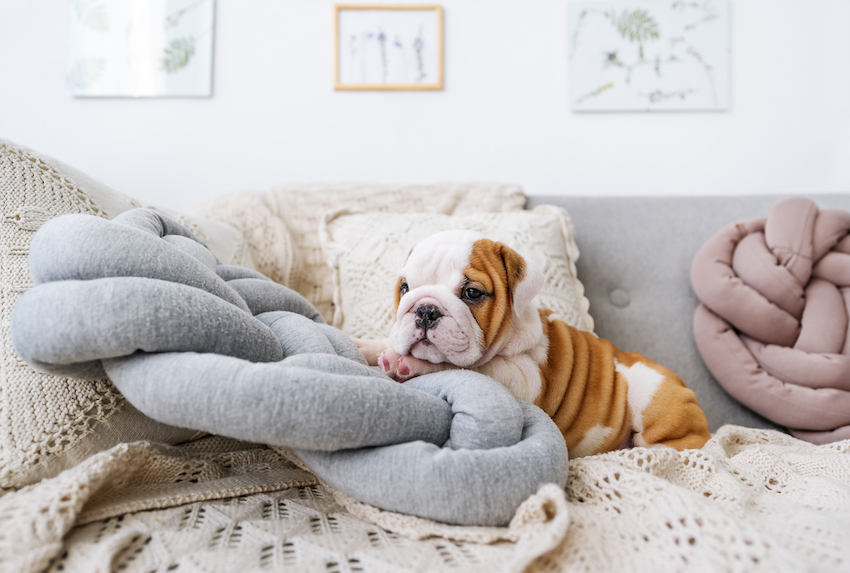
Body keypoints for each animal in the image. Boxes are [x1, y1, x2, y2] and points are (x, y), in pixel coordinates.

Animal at [354, 228, 712, 456]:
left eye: (472, 293)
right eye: (405, 287)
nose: (426, 310)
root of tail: (687, 390)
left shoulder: (524, 379)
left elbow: (469, 369)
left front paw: (407, 363)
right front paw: (364, 345)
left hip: (650, 394)